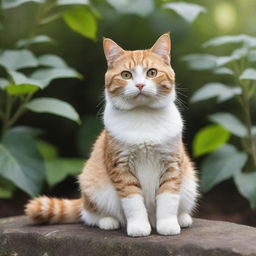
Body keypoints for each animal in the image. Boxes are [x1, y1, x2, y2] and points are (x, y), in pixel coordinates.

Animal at [25, 33, 198, 237]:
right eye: (126, 75)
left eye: (152, 73)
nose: (140, 84)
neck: (143, 116)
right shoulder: (121, 166)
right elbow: (133, 202)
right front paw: (138, 227)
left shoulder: (171, 164)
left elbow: (168, 198)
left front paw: (168, 224)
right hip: (92, 186)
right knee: (89, 214)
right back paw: (107, 221)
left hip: (189, 183)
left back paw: (182, 218)